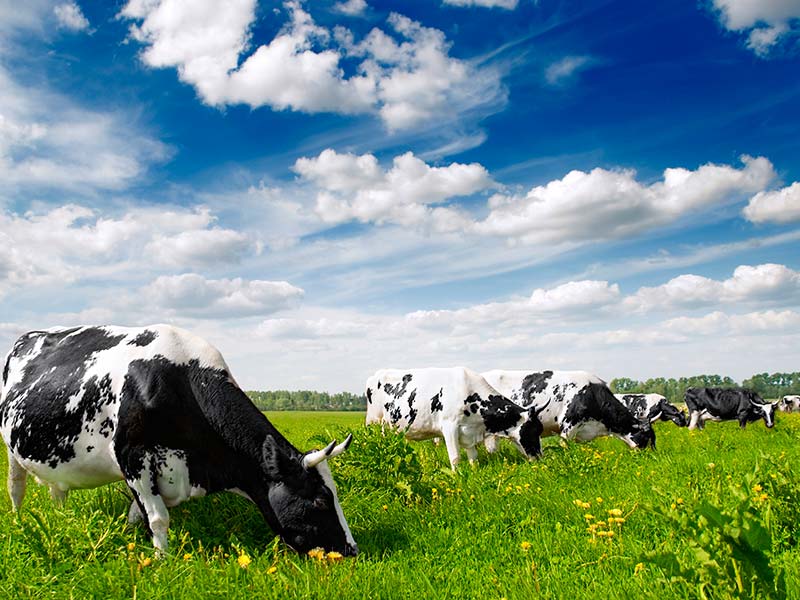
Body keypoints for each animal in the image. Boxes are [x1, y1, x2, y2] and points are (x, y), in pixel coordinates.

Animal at [0, 325, 357, 556]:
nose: (352, 549)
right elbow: (158, 519)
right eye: (321, 500)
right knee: (16, 487)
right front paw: (162, 562)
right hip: (10, 447)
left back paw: (62, 518)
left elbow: (138, 516)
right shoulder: (133, 457)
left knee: (56, 489)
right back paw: (19, 522)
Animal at [365, 367, 546, 469]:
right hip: (373, 422)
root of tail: (376, 375)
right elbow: (455, 457)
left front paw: (474, 472)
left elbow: (473, 456)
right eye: (531, 431)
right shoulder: (449, 426)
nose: (539, 457)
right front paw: (457, 476)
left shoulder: (469, 432)